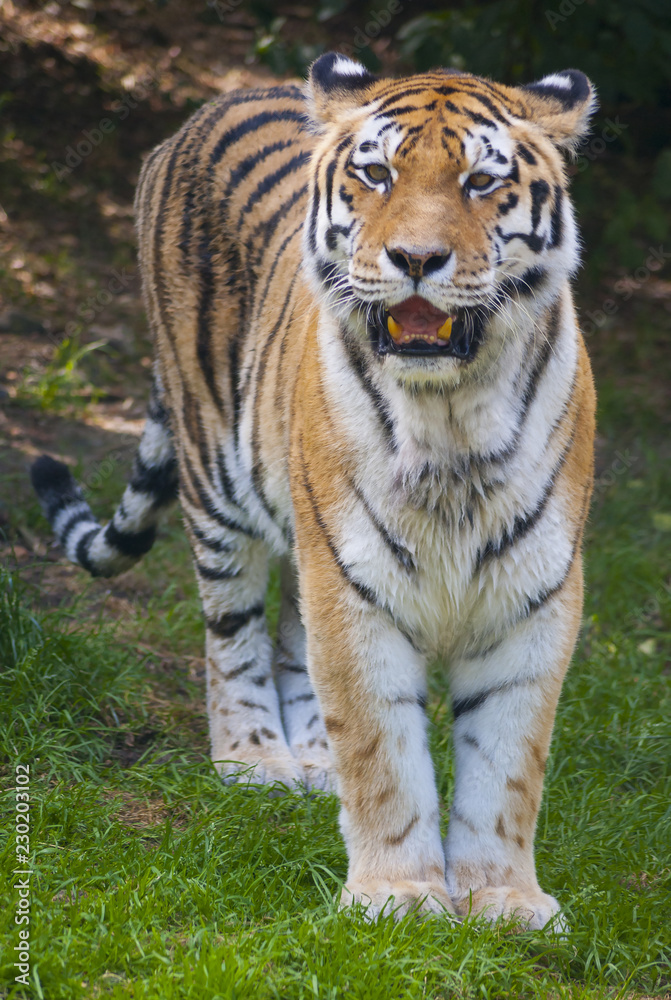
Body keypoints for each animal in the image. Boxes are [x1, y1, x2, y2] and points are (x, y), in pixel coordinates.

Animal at [31, 54, 600, 924]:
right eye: (377, 174)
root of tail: (219, 99)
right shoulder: (354, 588)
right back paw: (255, 760)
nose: (415, 259)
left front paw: (503, 899)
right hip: (218, 481)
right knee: (231, 634)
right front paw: (398, 893)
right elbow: (382, 751)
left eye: (479, 182)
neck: (450, 420)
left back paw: (311, 762)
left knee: (294, 643)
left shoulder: (532, 594)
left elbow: (507, 765)